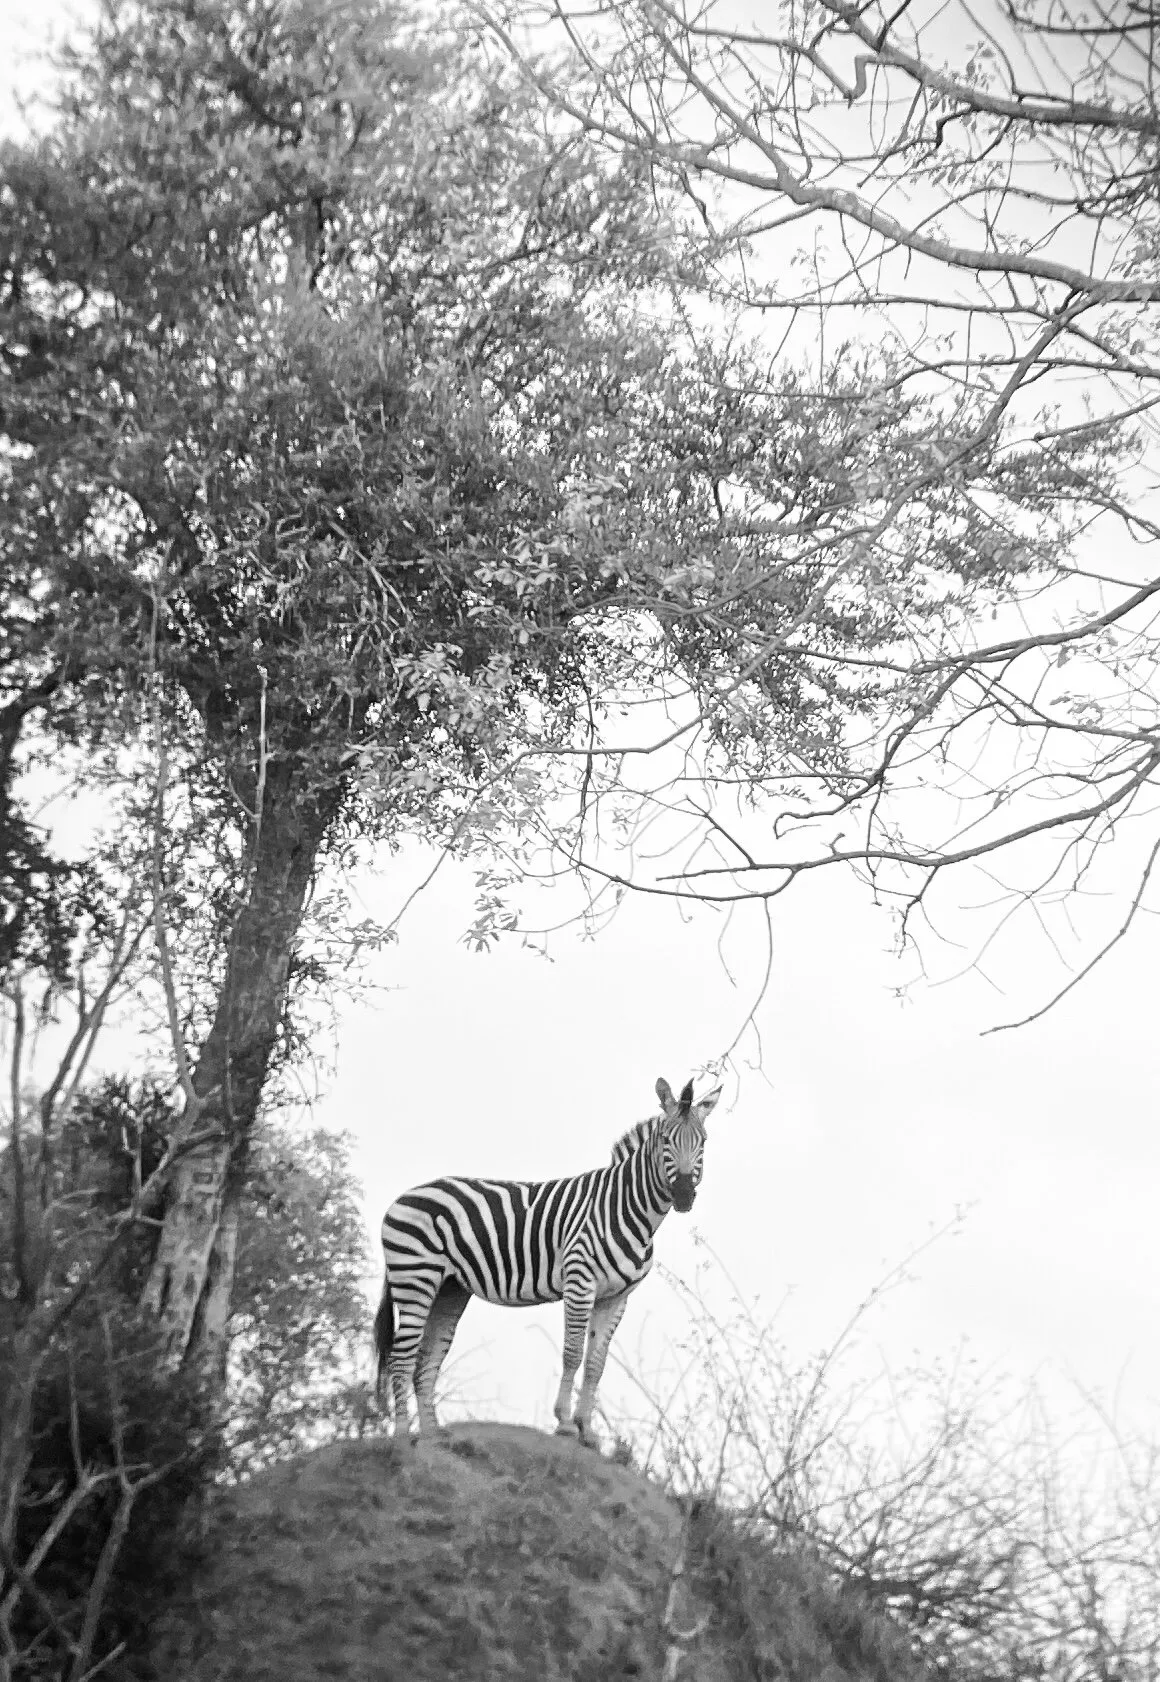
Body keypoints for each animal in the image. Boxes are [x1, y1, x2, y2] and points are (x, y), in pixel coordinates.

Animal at [374, 1074, 723, 1448]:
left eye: (703, 1141)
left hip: (449, 1288)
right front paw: (565, 1424)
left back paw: (432, 1435)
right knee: (401, 1356)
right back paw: (402, 1436)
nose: (684, 1195)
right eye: (665, 1139)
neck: (628, 1209)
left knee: (427, 1357)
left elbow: (596, 1363)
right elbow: (572, 1352)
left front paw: (587, 1430)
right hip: (415, 1277)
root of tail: (403, 1197)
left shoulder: (616, 1297)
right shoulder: (579, 1281)